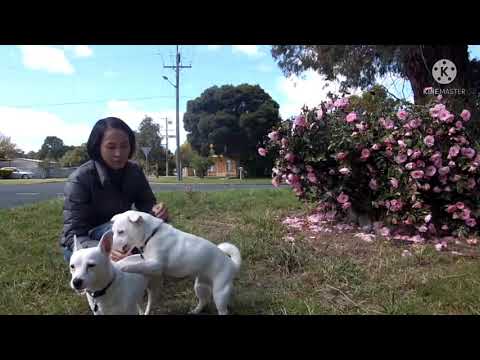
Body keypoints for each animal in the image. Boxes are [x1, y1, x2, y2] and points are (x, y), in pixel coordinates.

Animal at [110, 210, 242, 314]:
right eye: (113, 231)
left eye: (121, 232)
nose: (110, 246)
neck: (151, 234)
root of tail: (231, 264)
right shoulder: (147, 261)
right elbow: (136, 261)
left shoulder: (156, 266)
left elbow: (137, 266)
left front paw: (124, 267)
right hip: (200, 286)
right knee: (203, 301)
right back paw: (195, 311)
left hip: (219, 294)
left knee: (223, 310)